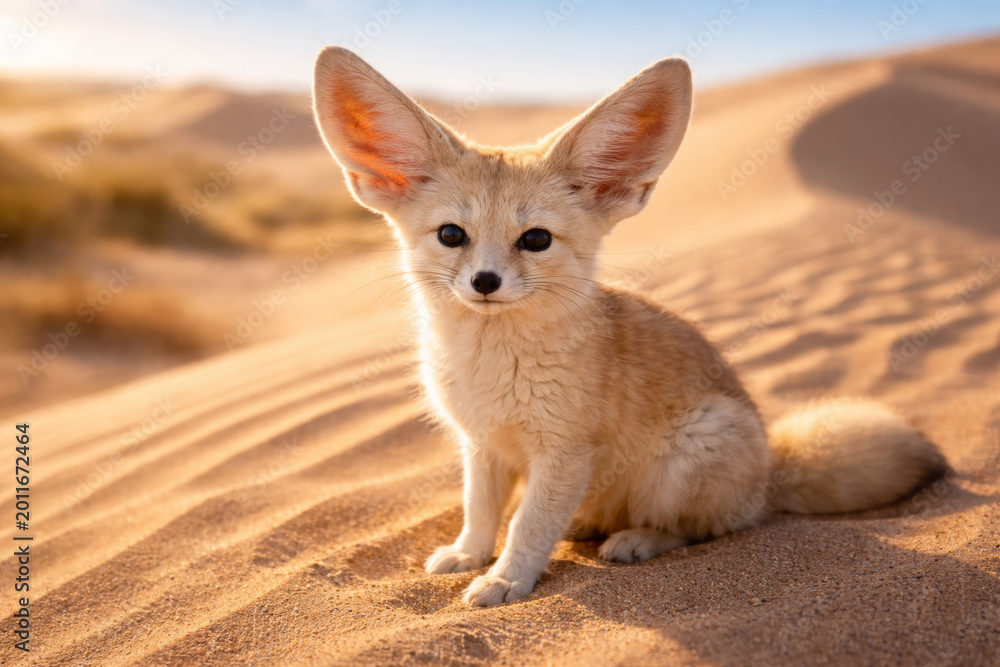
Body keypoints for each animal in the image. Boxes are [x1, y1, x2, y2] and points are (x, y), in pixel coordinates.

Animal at [312, 47, 946, 607]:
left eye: (535, 239)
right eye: (451, 235)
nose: (484, 281)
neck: (489, 367)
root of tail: (770, 473)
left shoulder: (565, 453)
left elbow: (527, 525)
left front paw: (505, 580)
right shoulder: (482, 446)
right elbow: (482, 510)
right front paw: (470, 554)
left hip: (691, 452)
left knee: (708, 528)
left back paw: (637, 539)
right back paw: (589, 524)